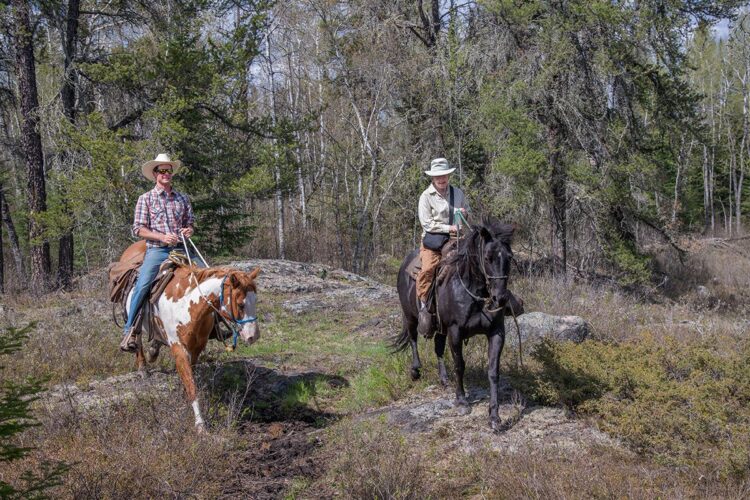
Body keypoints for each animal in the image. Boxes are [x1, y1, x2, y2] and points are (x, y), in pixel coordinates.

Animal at [116, 242, 260, 430]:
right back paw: (142, 366)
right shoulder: (179, 348)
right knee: (138, 338)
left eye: (255, 301)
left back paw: (153, 350)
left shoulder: (197, 347)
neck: (188, 304)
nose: (253, 336)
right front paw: (200, 424)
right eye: (240, 304)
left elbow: (190, 378)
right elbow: (192, 385)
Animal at [394, 218, 524, 430]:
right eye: (487, 257)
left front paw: (494, 416)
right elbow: (459, 365)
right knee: (413, 339)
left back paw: (444, 379)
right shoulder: (455, 332)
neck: (473, 292)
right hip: (411, 316)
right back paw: (415, 371)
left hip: (440, 328)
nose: (501, 299)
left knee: (438, 348)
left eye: (509, 257)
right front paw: (462, 401)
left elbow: (493, 371)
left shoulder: (496, 332)